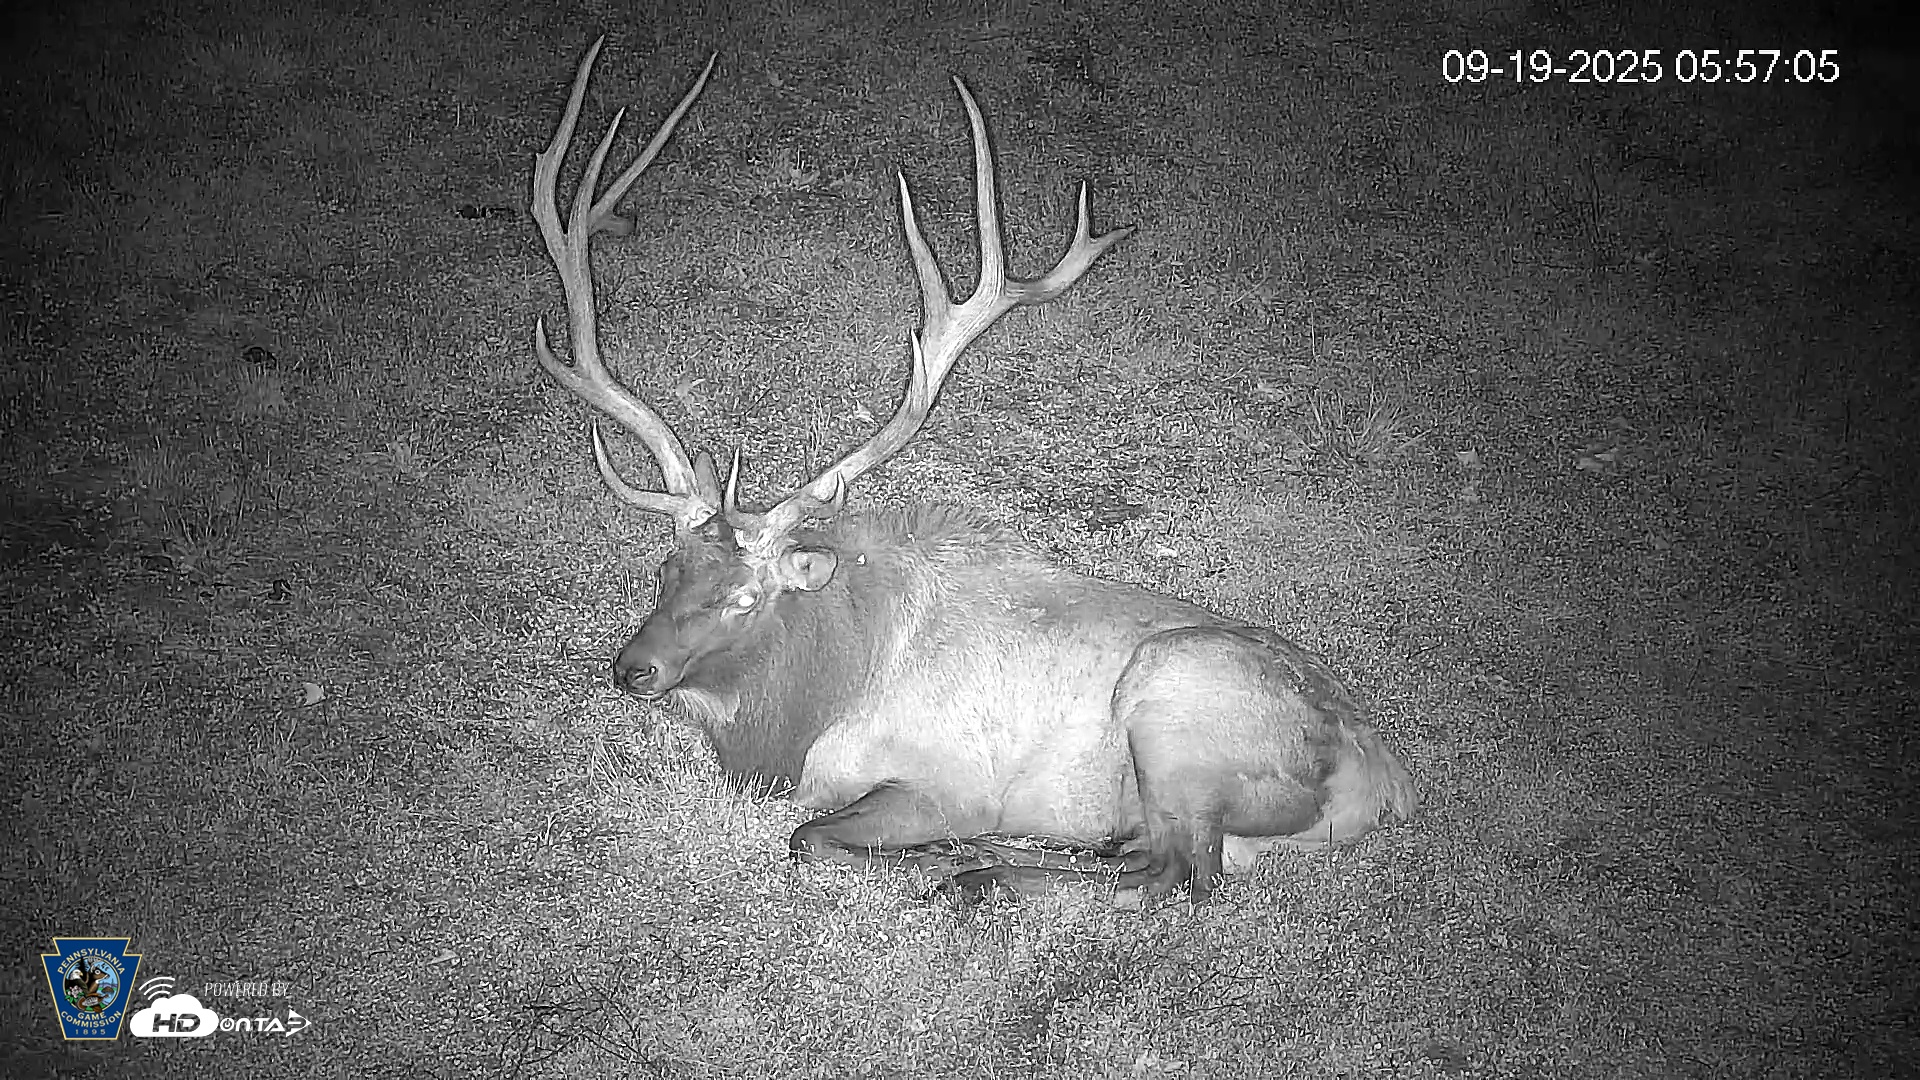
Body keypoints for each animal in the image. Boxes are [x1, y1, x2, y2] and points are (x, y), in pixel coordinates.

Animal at [529, 39, 1417, 901]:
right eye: (664, 571)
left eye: (745, 598)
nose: (632, 668)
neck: (805, 714)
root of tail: (1386, 782)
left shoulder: (946, 782)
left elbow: (808, 838)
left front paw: (928, 859)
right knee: (1151, 864)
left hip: (1176, 711)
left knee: (1178, 880)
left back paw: (978, 873)